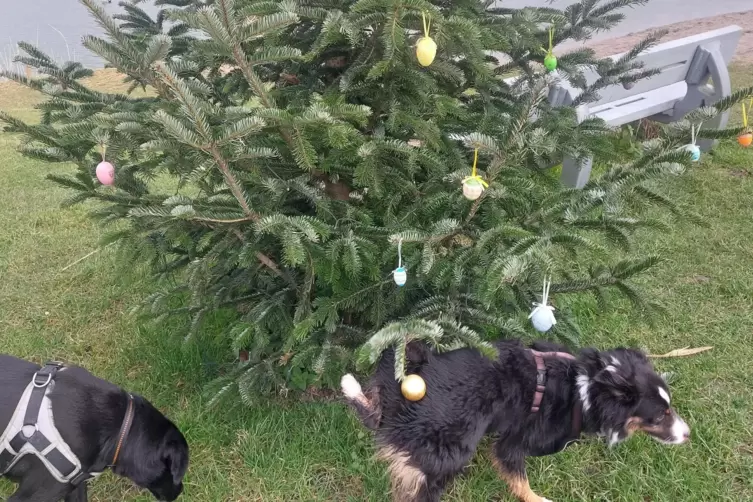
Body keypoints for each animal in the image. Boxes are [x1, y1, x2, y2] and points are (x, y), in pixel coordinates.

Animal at [340, 340, 688, 500]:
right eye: (660, 416)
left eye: (669, 408)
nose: (688, 434)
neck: (588, 389)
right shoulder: (514, 443)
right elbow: (520, 480)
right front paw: (538, 498)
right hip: (452, 448)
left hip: (395, 370)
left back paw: (350, 385)